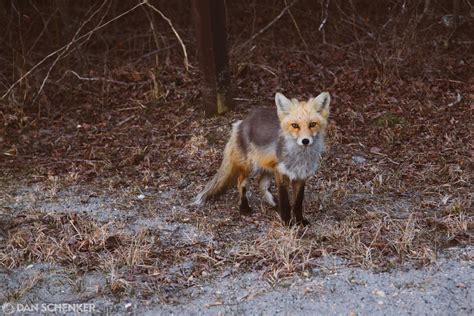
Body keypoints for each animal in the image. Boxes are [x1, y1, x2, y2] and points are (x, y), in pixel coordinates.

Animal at [194, 91, 332, 225]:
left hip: (268, 168)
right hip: (250, 167)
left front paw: (299, 222)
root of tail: (243, 121)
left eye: (312, 124)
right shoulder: (281, 173)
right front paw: (286, 221)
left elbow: (297, 203)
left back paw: (274, 204)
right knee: (241, 182)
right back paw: (244, 208)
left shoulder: (301, 176)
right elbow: (285, 201)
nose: (305, 141)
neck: (299, 158)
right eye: (295, 125)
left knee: (261, 183)